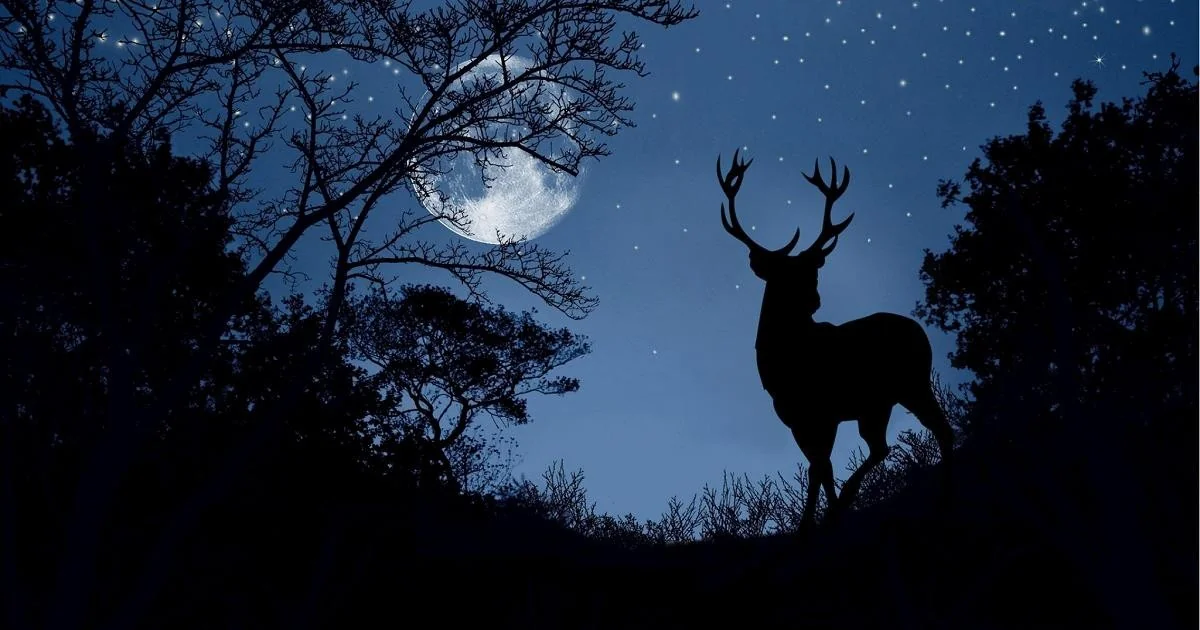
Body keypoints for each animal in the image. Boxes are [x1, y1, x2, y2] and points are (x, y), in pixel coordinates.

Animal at [716, 149, 954, 526]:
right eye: (782, 277)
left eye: (811, 273)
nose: (814, 301)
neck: (781, 362)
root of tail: (921, 332)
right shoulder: (796, 418)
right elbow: (822, 467)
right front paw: (824, 516)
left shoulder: (822, 412)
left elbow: (818, 468)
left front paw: (810, 522)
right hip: (885, 399)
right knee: (898, 441)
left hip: (908, 385)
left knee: (919, 436)